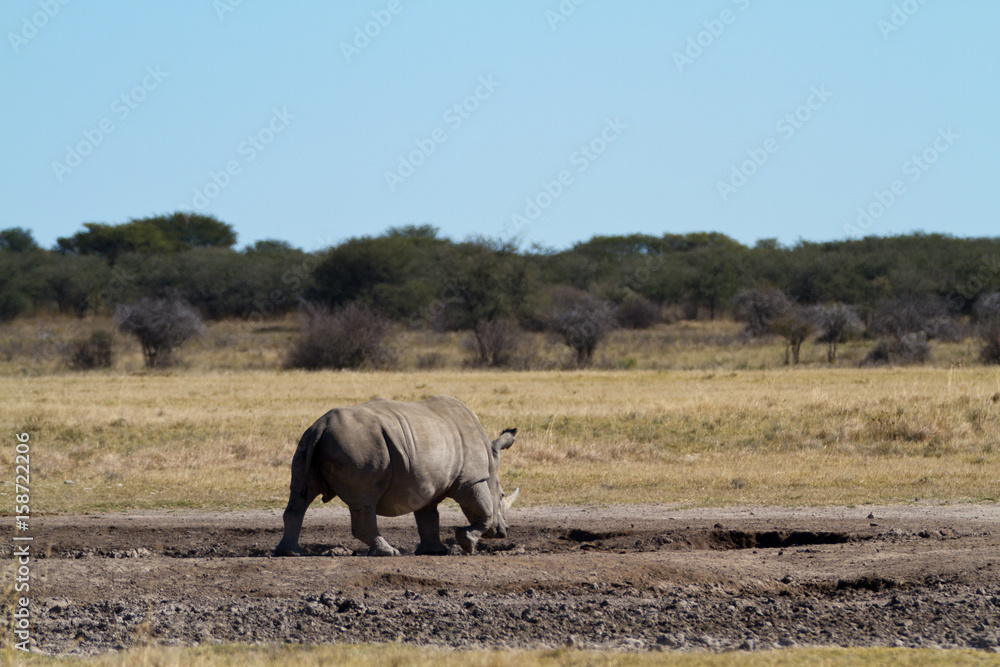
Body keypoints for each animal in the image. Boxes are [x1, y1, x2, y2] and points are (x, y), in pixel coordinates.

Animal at [275, 395, 518, 557]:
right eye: (502, 495)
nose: (503, 532)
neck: (491, 460)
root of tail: (321, 426)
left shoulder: (427, 485)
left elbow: (428, 517)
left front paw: (435, 551)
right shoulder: (471, 480)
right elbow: (484, 511)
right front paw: (467, 543)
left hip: (306, 441)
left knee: (300, 497)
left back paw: (290, 552)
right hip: (361, 447)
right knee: (365, 501)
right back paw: (388, 552)